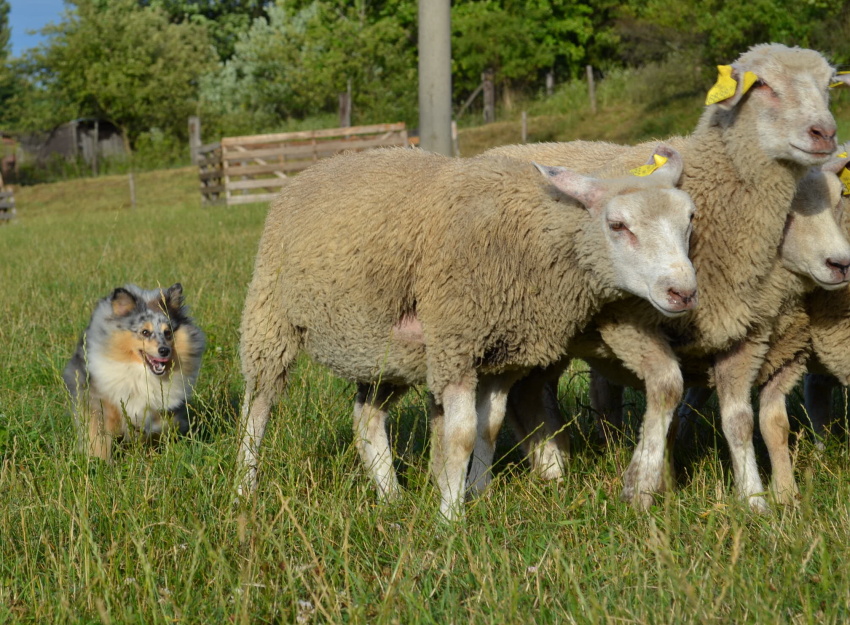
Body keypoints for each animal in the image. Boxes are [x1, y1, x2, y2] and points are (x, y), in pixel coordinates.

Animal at [62, 282, 205, 458]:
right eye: (145, 332)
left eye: (168, 332)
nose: (164, 351)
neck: (142, 372)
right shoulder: (101, 403)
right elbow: (100, 438)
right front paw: (99, 460)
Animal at [234, 144, 696, 520]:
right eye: (617, 225)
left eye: (689, 220)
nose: (684, 292)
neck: (532, 238)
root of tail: (320, 165)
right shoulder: (457, 342)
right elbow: (460, 436)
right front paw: (450, 519)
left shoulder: (502, 355)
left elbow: (488, 427)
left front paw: (477, 493)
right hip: (270, 317)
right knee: (257, 407)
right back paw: (244, 488)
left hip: (385, 350)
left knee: (367, 417)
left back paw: (391, 497)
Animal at [484, 44, 848, 512]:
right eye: (763, 85)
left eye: (828, 85)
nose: (824, 133)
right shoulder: (629, 321)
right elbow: (667, 390)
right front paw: (643, 485)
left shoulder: (747, 335)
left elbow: (743, 420)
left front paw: (756, 500)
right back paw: (551, 470)